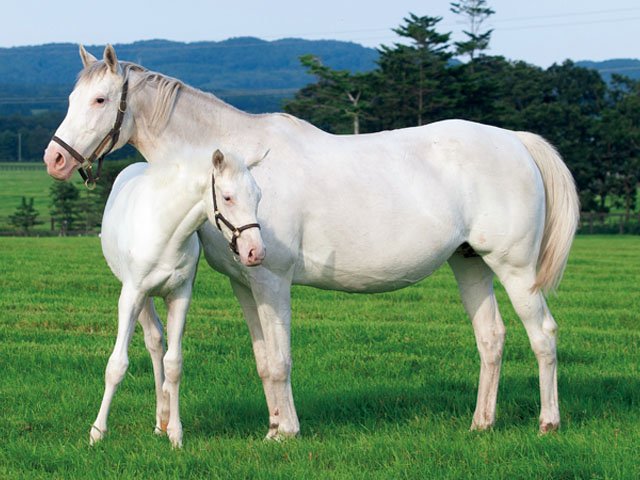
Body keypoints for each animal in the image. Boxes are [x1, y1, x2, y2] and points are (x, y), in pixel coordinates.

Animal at [93, 149, 264, 448]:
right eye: (228, 197)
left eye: (258, 196)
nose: (256, 252)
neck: (166, 229)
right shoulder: (131, 294)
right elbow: (117, 364)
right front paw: (97, 432)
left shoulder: (180, 296)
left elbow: (173, 364)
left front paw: (175, 433)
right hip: (141, 297)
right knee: (152, 340)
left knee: (157, 344)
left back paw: (161, 420)